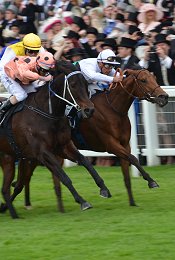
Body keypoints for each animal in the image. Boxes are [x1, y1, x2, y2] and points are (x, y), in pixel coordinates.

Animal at [0, 60, 112, 217]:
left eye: (85, 83)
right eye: (73, 85)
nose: (89, 110)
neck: (47, 113)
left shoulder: (63, 146)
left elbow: (85, 162)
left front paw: (104, 188)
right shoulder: (43, 153)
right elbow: (63, 176)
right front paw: (82, 201)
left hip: (11, 158)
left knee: (11, 187)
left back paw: (8, 210)